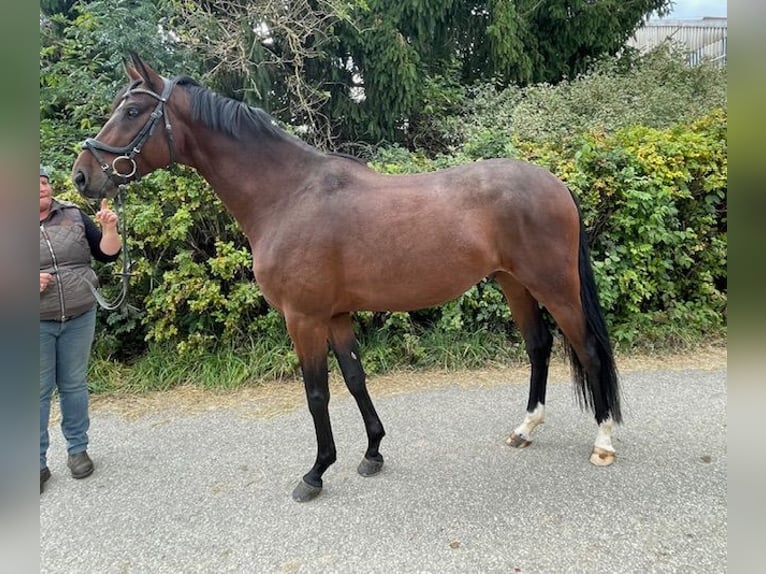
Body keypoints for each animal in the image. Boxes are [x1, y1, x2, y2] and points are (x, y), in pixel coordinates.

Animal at [72, 52, 622, 502]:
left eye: (132, 112)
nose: (81, 176)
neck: (288, 195)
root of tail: (556, 184)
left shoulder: (303, 318)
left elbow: (317, 393)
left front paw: (315, 473)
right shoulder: (335, 315)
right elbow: (356, 379)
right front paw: (372, 452)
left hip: (555, 286)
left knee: (589, 349)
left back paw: (603, 441)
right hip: (514, 283)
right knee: (539, 346)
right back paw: (525, 428)